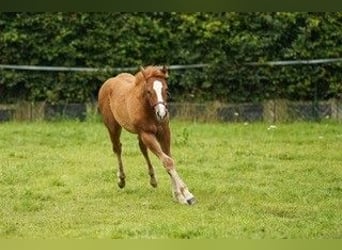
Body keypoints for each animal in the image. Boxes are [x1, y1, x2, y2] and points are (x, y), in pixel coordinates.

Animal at [98, 65, 195, 205]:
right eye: (149, 91)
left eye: (166, 89)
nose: (162, 114)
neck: (148, 109)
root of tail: (109, 81)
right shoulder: (147, 134)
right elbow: (167, 161)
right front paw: (186, 195)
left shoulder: (165, 132)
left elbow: (169, 158)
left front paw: (177, 194)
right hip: (113, 127)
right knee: (117, 148)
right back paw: (121, 180)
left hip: (139, 134)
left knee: (142, 149)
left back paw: (153, 180)